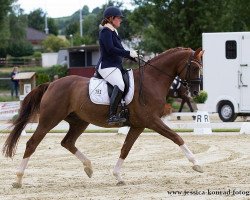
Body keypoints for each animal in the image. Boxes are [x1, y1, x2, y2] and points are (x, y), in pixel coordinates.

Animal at [2, 47, 204, 188]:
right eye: (194, 67)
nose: (195, 92)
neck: (152, 80)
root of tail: (51, 84)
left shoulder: (138, 125)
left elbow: (125, 149)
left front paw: (118, 176)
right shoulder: (152, 120)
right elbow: (176, 137)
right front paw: (196, 164)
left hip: (79, 121)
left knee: (67, 142)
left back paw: (89, 167)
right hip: (49, 120)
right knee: (32, 144)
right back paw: (18, 180)